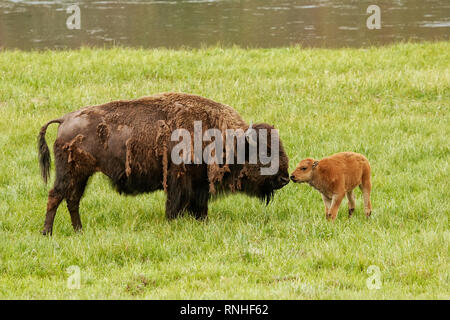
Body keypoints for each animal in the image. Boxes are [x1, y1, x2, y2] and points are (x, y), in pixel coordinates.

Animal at [39, 92, 292, 235]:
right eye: (265, 152)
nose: (284, 178)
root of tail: (64, 119)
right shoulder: (178, 181)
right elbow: (174, 206)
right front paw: (173, 223)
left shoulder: (198, 186)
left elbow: (200, 208)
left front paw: (202, 222)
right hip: (70, 173)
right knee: (56, 196)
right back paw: (47, 233)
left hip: (82, 175)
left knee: (72, 200)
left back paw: (79, 231)